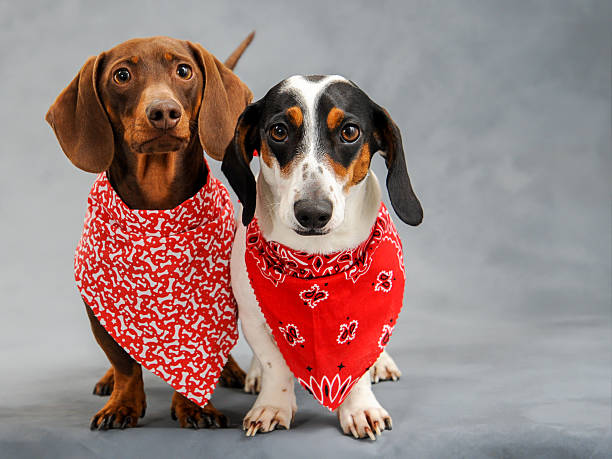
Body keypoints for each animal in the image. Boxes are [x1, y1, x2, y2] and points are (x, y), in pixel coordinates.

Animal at [46, 34, 253, 430]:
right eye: (121, 75)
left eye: (184, 70)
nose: (164, 112)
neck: (157, 208)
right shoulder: (98, 308)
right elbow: (124, 363)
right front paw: (122, 403)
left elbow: (204, 355)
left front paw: (195, 407)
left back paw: (231, 370)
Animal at [222, 74, 424, 438]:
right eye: (279, 130)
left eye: (350, 132)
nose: (313, 213)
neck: (316, 263)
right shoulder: (253, 319)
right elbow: (275, 364)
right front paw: (272, 404)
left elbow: (359, 366)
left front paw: (360, 408)